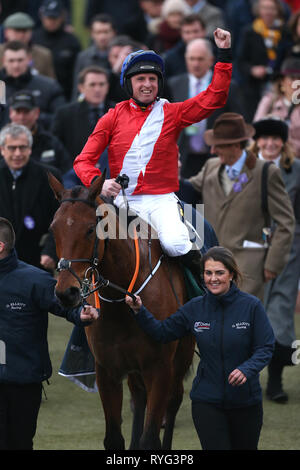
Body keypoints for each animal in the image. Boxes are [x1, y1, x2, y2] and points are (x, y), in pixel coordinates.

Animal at [48, 173, 195, 452]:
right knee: (138, 398)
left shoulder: (160, 369)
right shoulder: (108, 370)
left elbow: (151, 438)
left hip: (181, 356)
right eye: (53, 228)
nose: (65, 292)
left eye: (89, 229)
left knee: (174, 401)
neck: (122, 299)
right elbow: (114, 437)